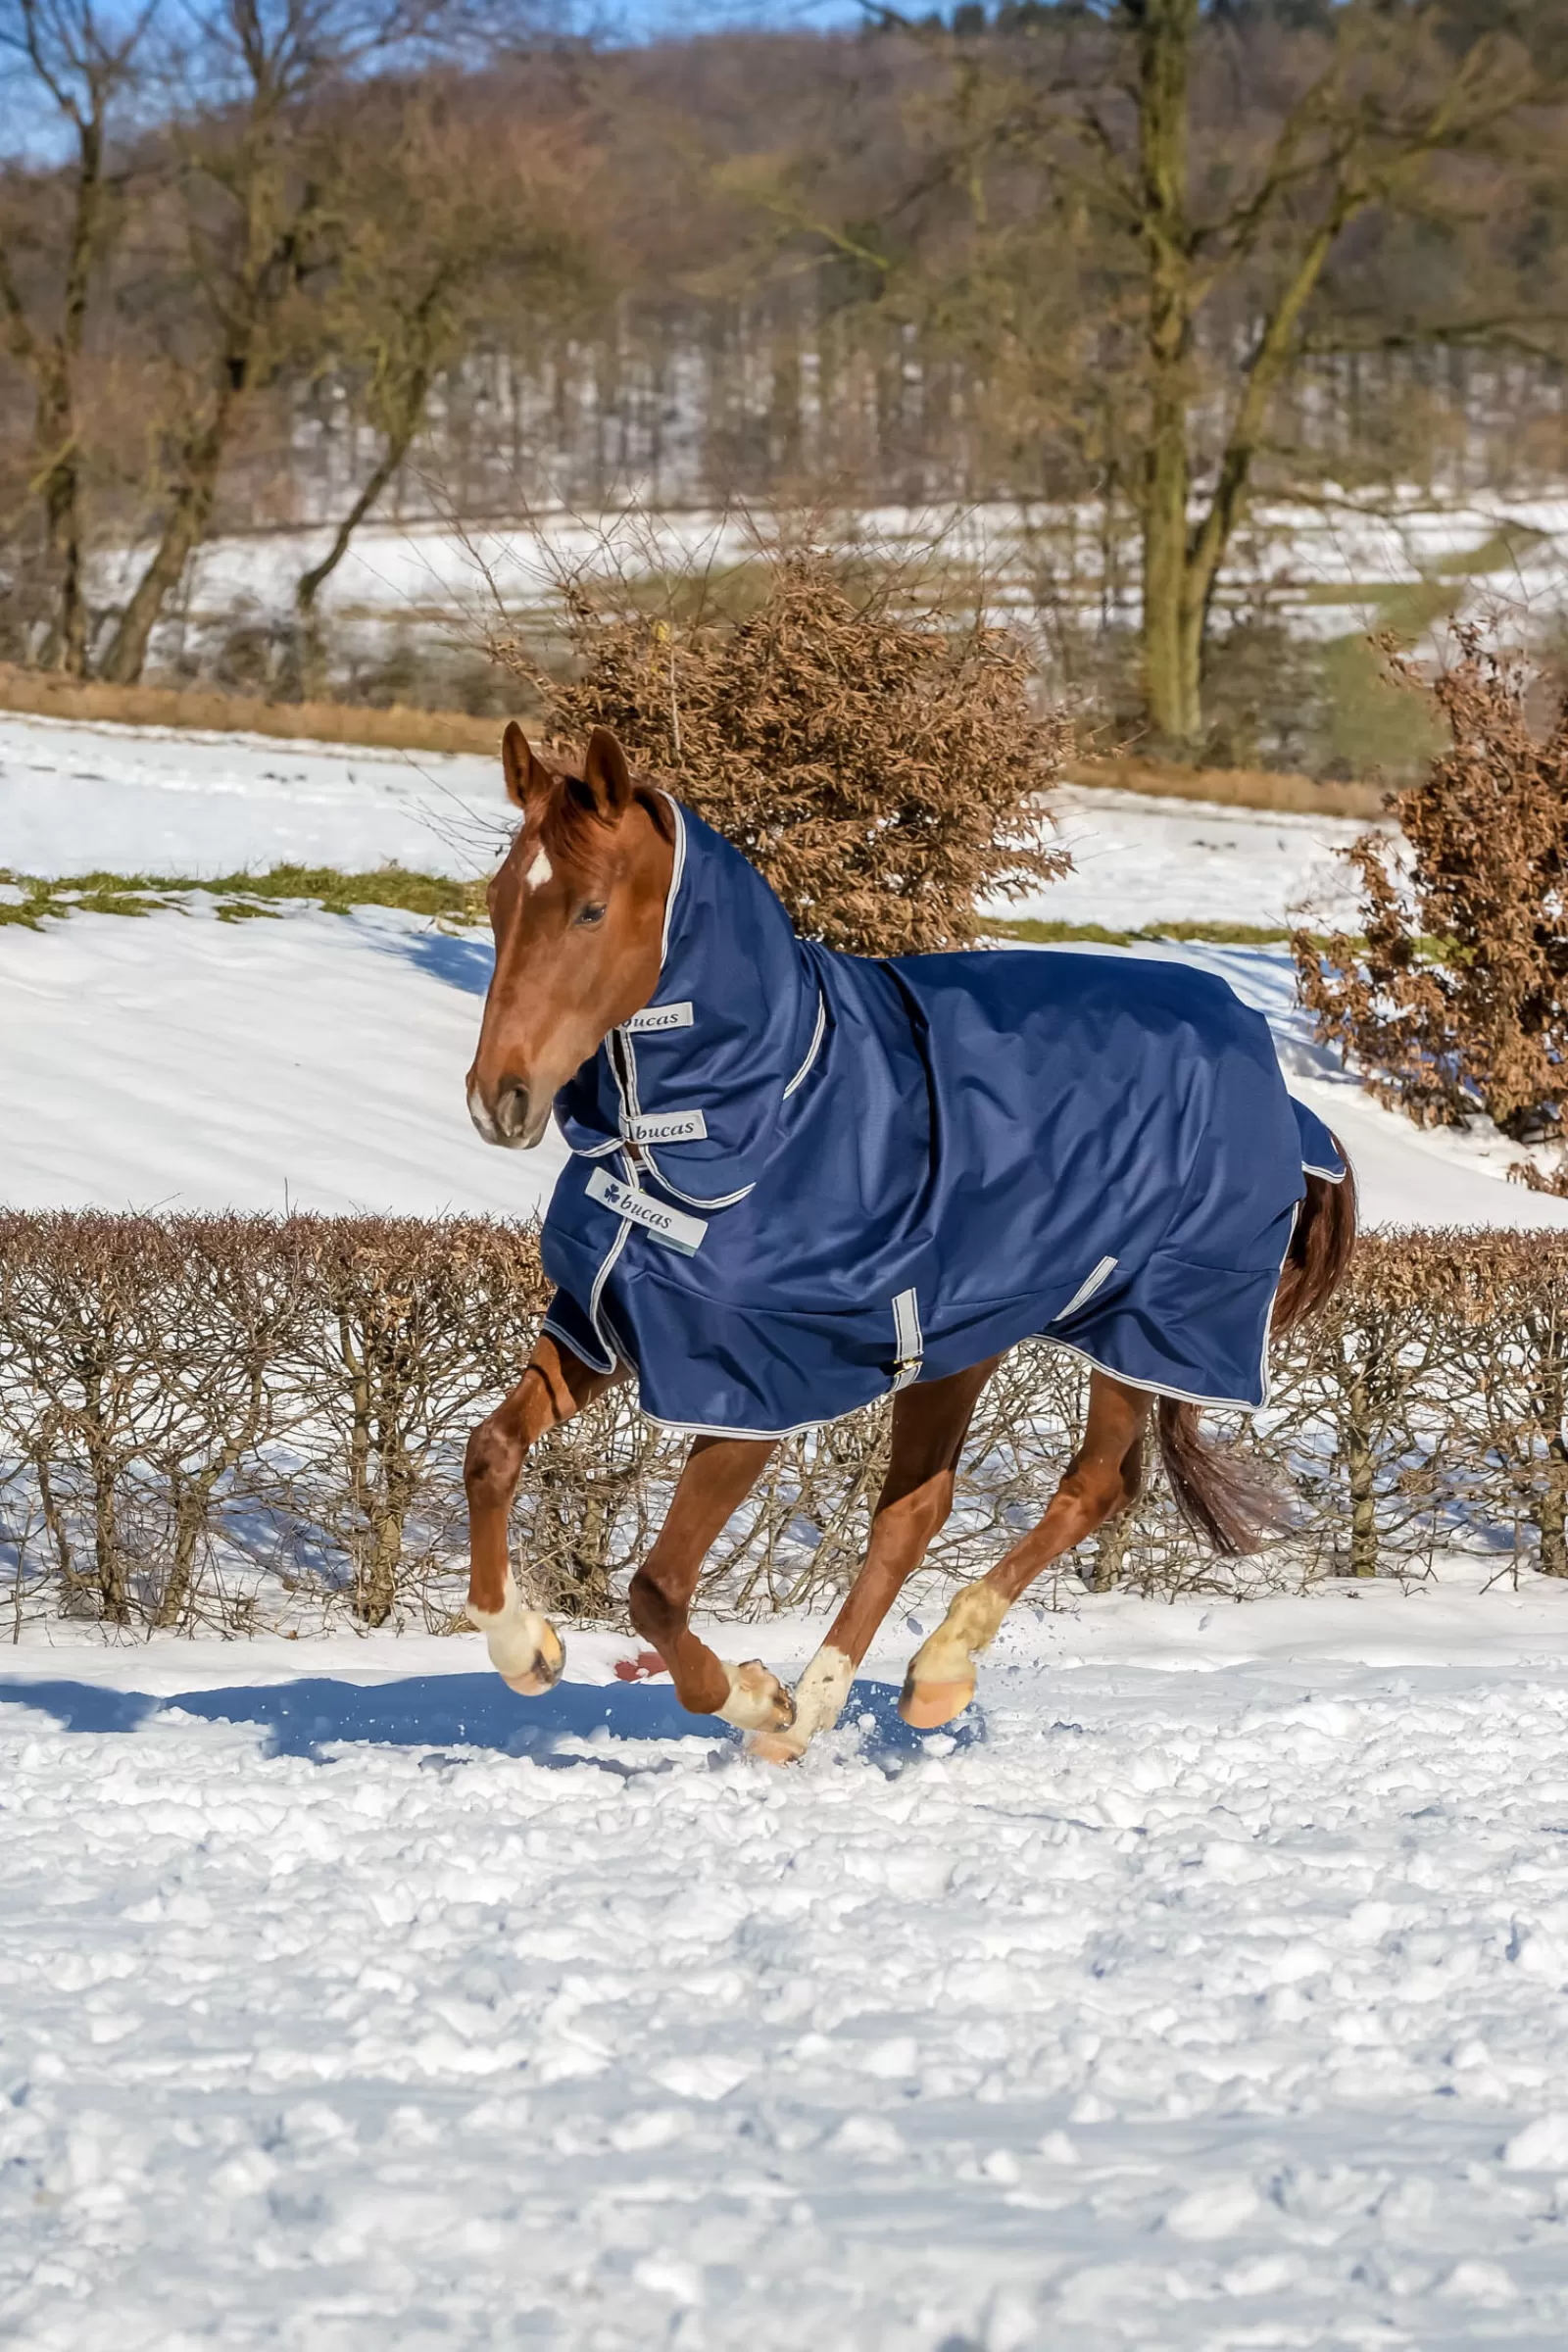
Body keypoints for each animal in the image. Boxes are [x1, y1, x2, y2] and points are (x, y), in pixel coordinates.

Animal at [461, 724, 1353, 1759]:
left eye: (592, 909)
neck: (758, 1113)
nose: (499, 1099)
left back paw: (927, 1676)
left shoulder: (748, 1394)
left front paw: (752, 1694)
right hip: (955, 1343)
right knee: (915, 1512)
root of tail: (1273, 1076)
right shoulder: (603, 1322)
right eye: (498, 900)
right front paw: (528, 1648)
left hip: (1145, 1327)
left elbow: (655, 1592)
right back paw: (821, 1707)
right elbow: (490, 1453)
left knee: (1094, 1486)